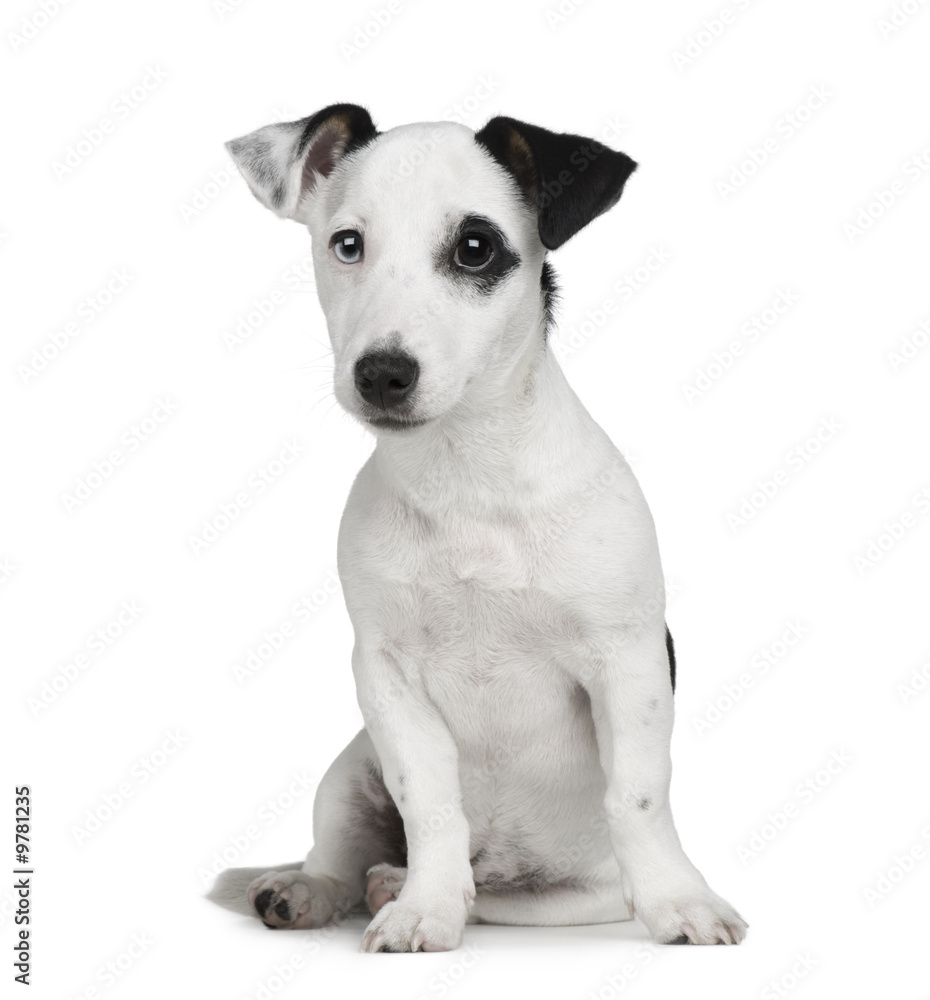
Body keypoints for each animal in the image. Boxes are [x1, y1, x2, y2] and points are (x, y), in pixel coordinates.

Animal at [208, 103, 748, 952]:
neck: (465, 475)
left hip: (571, 898)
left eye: (474, 248)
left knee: (496, 894)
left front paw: (679, 902)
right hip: (348, 771)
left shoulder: (626, 663)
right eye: (347, 245)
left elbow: (637, 794)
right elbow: (429, 800)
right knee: (345, 856)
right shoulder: (386, 678)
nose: (381, 373)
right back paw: (321, 888)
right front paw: (424, 907)